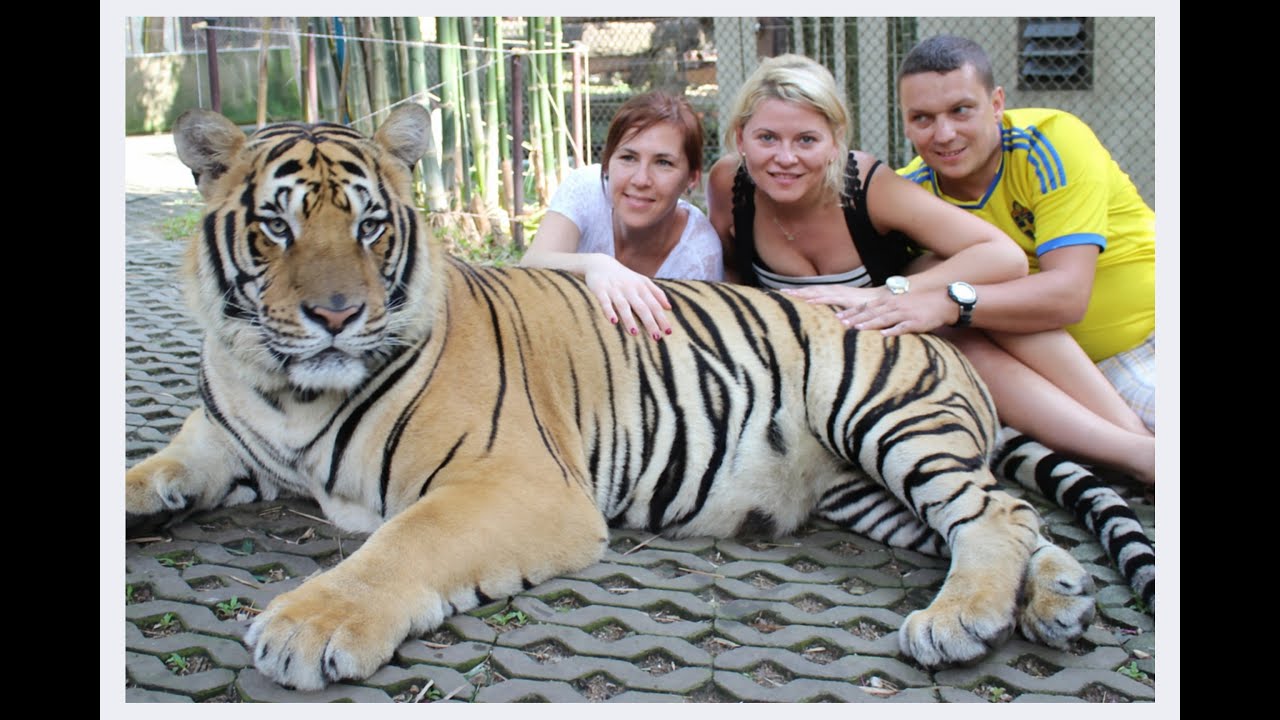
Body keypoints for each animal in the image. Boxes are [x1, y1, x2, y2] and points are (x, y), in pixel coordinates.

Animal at [124, 104, 1153, 692]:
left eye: (372, 228)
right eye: (276, 227)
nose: (337, 316)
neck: (290, 389)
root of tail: (939, 337)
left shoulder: (515, 484)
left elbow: (398, 544)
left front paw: (309, 624)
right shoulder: (229, 435)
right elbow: (159, 462)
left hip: (886, 421)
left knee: (994, 514)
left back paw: (960, 620)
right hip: (868, 492)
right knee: (1006, 518)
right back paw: (1056, 601)